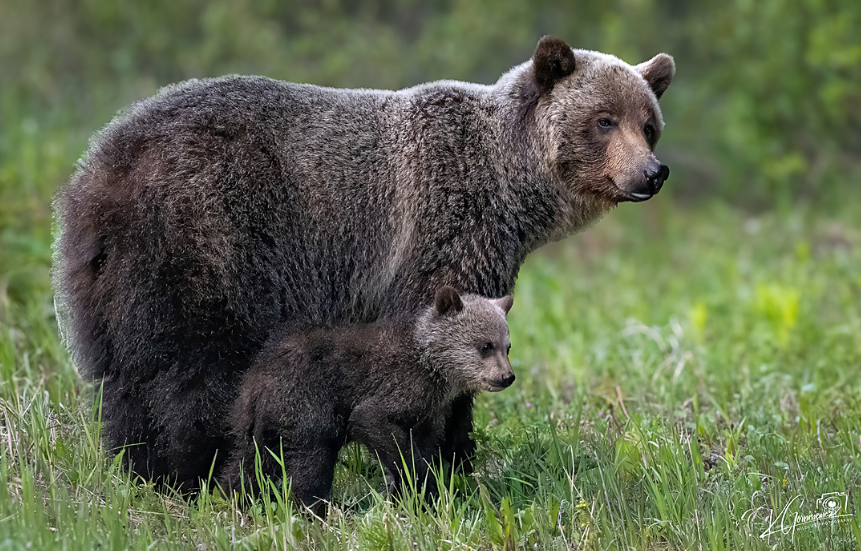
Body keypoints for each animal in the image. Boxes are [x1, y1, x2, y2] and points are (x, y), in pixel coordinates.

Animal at [51, 36, 674, 490]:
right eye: (604, 120)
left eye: (648, 124)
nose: (652, 173)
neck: (510, 190)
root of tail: (97, 170)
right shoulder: (441, 227)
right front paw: (446, 464)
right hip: (209, 233)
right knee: (194, 369)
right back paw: (191, 473)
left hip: (114, 278)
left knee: (129, 378)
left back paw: (139, 469)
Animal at [220, 286, 515, 514]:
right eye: (485, 346)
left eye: (507, 346)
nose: (507, 376)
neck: (431, 364)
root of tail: (256, 382)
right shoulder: (398, 388)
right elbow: (373, 423)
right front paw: (423, 488)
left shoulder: (428, 414)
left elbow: (425, 446)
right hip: (305, 408)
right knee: (311, 461)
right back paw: (320, 509)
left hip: (256, 424)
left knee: (247, 466)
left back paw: (230, 500)